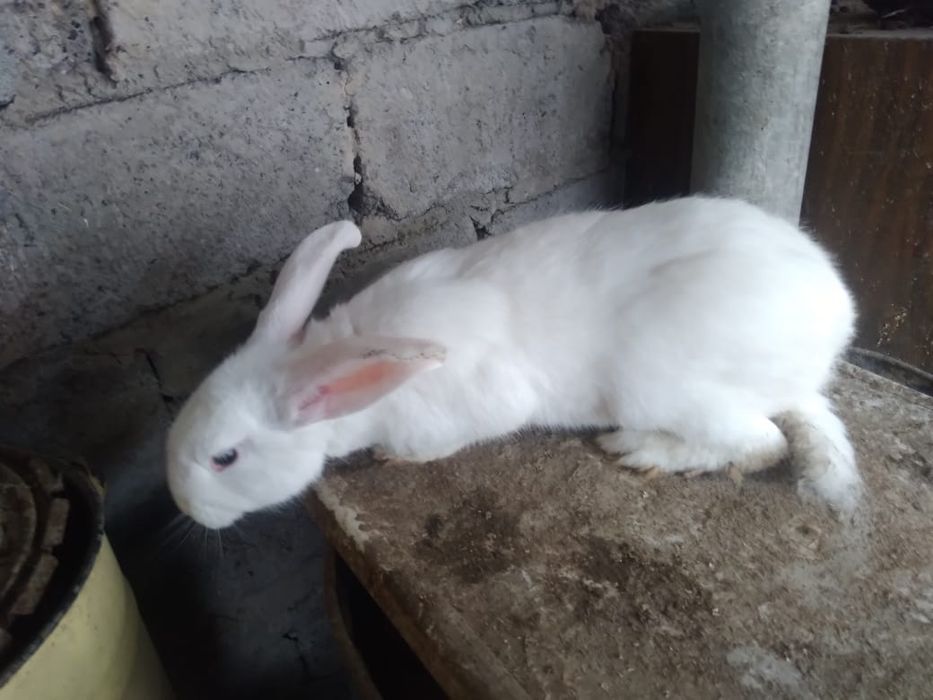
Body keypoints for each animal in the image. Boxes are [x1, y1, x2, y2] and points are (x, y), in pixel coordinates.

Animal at [166, 196, 859, 529]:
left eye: (225, 458)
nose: (185, 508)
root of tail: (835, 319)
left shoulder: (475, 404)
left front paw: (394, 458)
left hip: (660, 386)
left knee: (761, 443)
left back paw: (642, 450)